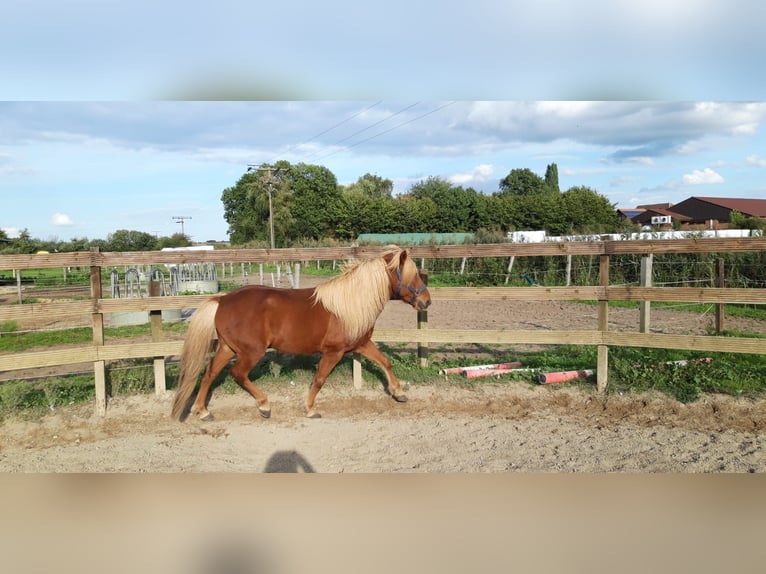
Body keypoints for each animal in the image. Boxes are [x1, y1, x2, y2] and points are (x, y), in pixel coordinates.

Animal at [171, 248, 432, 424]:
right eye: (412, 275)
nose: (426, 301)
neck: (350, 304)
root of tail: (222, 300)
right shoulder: (333, 352)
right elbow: (319, 379)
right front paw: (310, 409)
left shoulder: (362, 344)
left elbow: (385, 362)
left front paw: (399, 393)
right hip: (250, 352)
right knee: (238, 374)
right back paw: (264, 405)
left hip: (228, 348)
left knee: (209, 374)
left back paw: (203, 411)